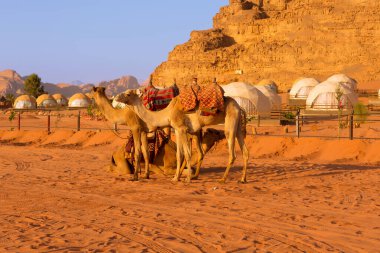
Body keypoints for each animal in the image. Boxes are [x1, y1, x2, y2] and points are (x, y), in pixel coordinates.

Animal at [116, 88, 249, 183]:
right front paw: (176, 178)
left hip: (230, 122)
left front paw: (188, 179)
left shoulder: (182, 128)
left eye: (128, 94)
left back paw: (223, 179)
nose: (116, 97)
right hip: (238, 126)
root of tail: (240, 107)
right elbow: (179, 154)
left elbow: (187, 153)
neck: (167, 113)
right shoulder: (177, 130)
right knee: (245, 151)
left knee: (232, 153)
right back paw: (242, 179)